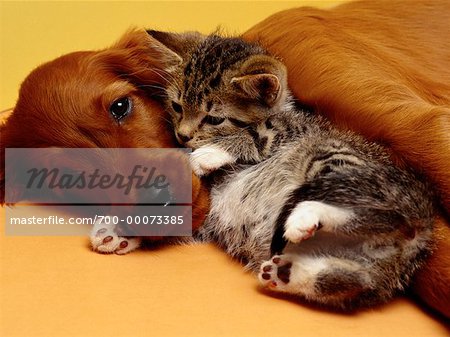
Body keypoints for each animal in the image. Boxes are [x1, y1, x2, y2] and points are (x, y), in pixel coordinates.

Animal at [149, 31, 436, 310]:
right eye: (177, 106)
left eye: (214, 119)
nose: (183, 135)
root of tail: (424, 219)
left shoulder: (291, 127)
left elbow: (255, 134)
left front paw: (208, 153)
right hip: (370, 267)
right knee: (354, 281)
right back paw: (288, 272)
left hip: (337, 162)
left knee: (384, 214)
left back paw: (304, 217)